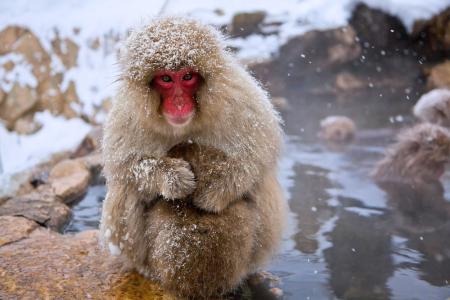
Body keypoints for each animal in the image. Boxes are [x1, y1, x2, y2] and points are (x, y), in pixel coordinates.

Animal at [100, 17, 286, 298]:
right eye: (166, 79)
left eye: (187, 77)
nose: (178, 102)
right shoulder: (127, 114)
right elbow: (126, 165)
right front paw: (174, 178)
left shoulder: (240, 98)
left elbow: (257, 155)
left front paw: (214, 190)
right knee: (126, 190)